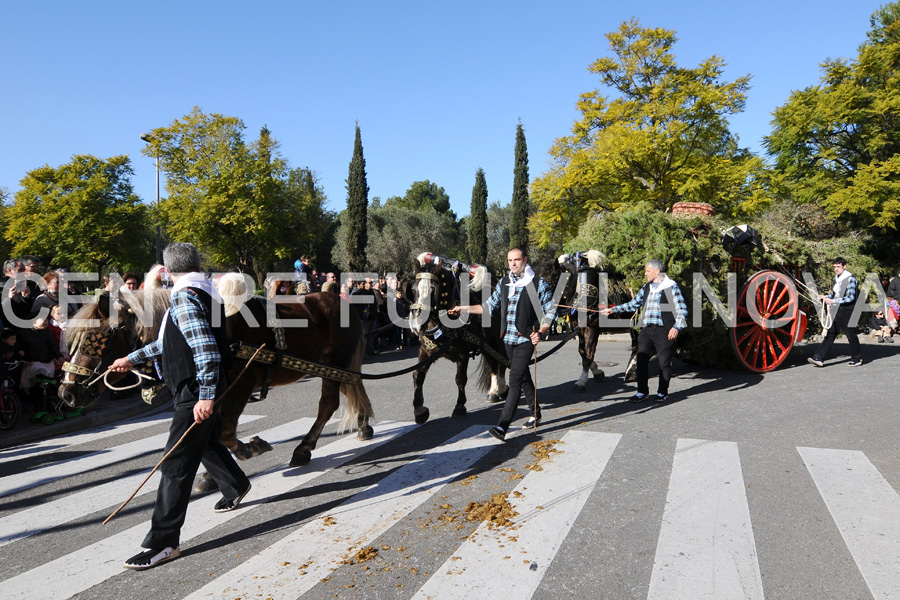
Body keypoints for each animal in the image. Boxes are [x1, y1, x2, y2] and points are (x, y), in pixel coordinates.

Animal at [59, 278, 376, 472]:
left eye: (93, 340)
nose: (67, 392)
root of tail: (342, 302)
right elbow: (212, 433)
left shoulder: (240, 386)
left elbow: (225, 432)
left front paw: (249, 449)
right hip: (338, 367)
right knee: (352, 387)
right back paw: (362, 425)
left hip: (335, 364)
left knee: (329, 404)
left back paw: (304, 448)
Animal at [408, 251, 506, 424]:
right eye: (413, 289)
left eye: (433, 289)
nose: (417, 324)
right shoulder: (426, 351)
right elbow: (418, 375)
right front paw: (419, 410)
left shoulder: (463, 353)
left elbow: (460, 378)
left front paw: (460, 406)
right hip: (486, 343)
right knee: (493, 363)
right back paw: (494, 391)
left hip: (497, 339)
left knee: (502, 360)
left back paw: (502, 387)